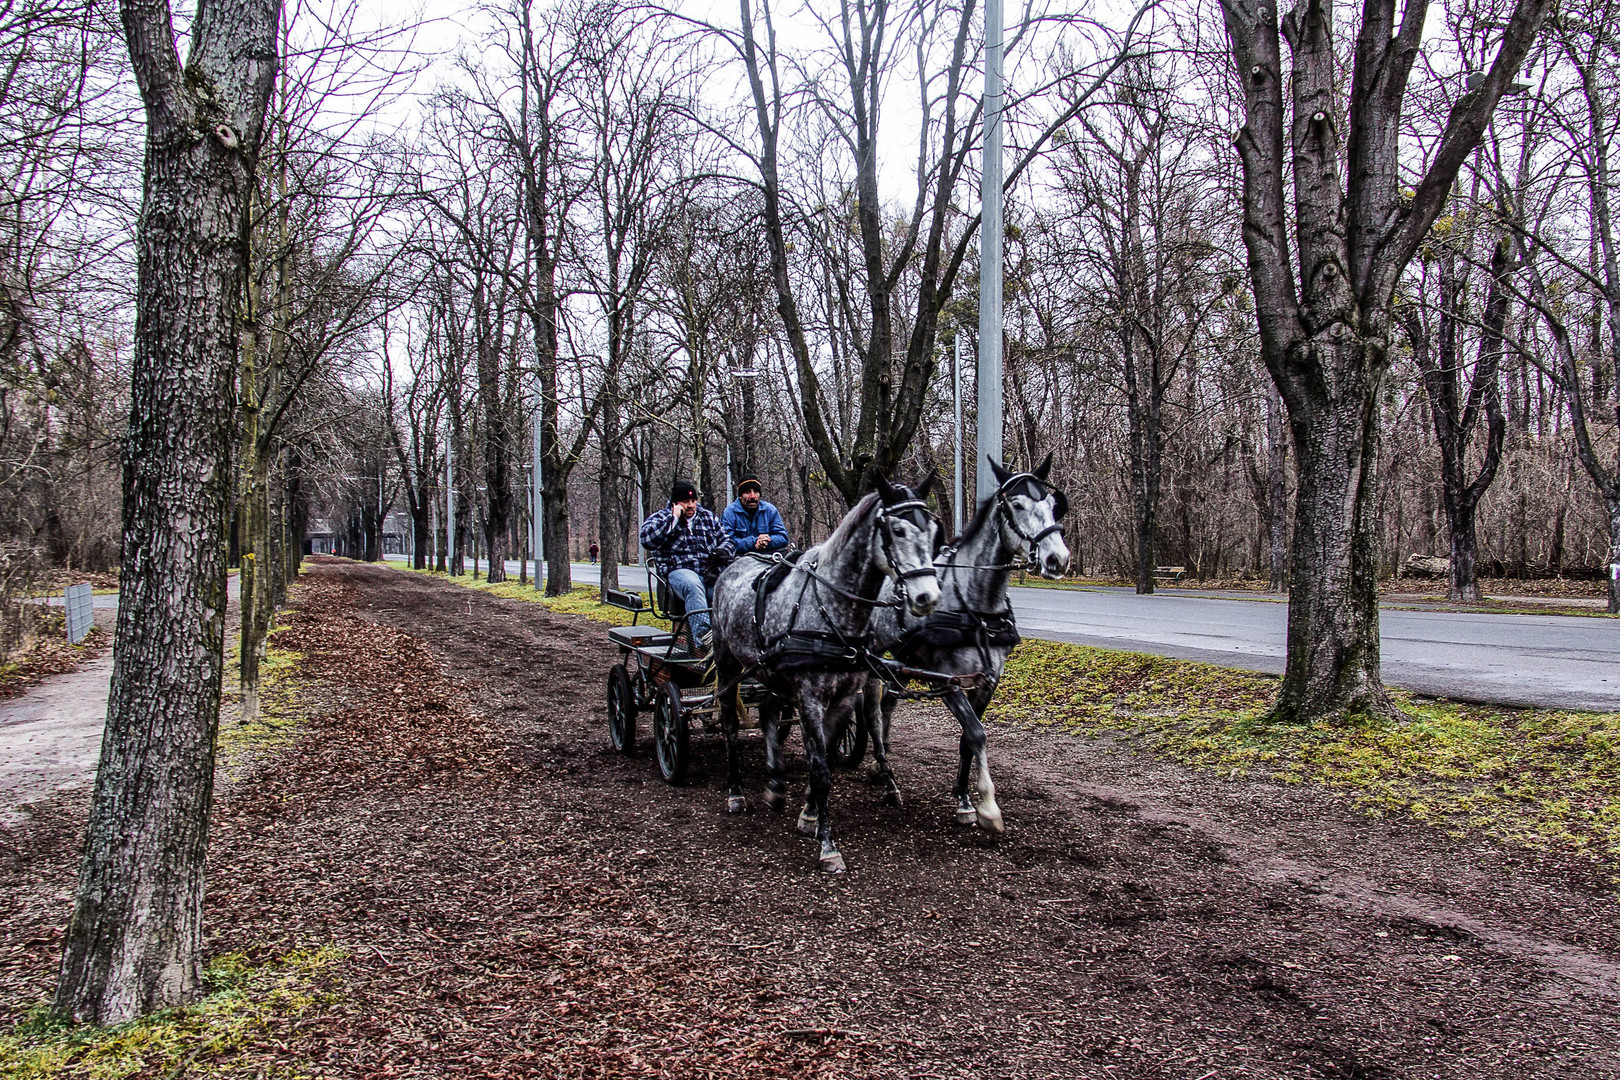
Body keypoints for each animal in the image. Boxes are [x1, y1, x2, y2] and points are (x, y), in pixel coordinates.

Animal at [706, 469, 939, 874]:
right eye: (897, 530)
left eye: (932, 529)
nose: (928, 596)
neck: (833, 606)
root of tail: (732, 565)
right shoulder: (812, 697)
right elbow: (821, 769)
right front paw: (828, 846)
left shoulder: (844, 696)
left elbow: (827, 753)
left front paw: (809, 814)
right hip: (727, 661)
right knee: (730, 724)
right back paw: (735, 792)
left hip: (771, 673)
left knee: (769, 714)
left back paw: (775, 785)